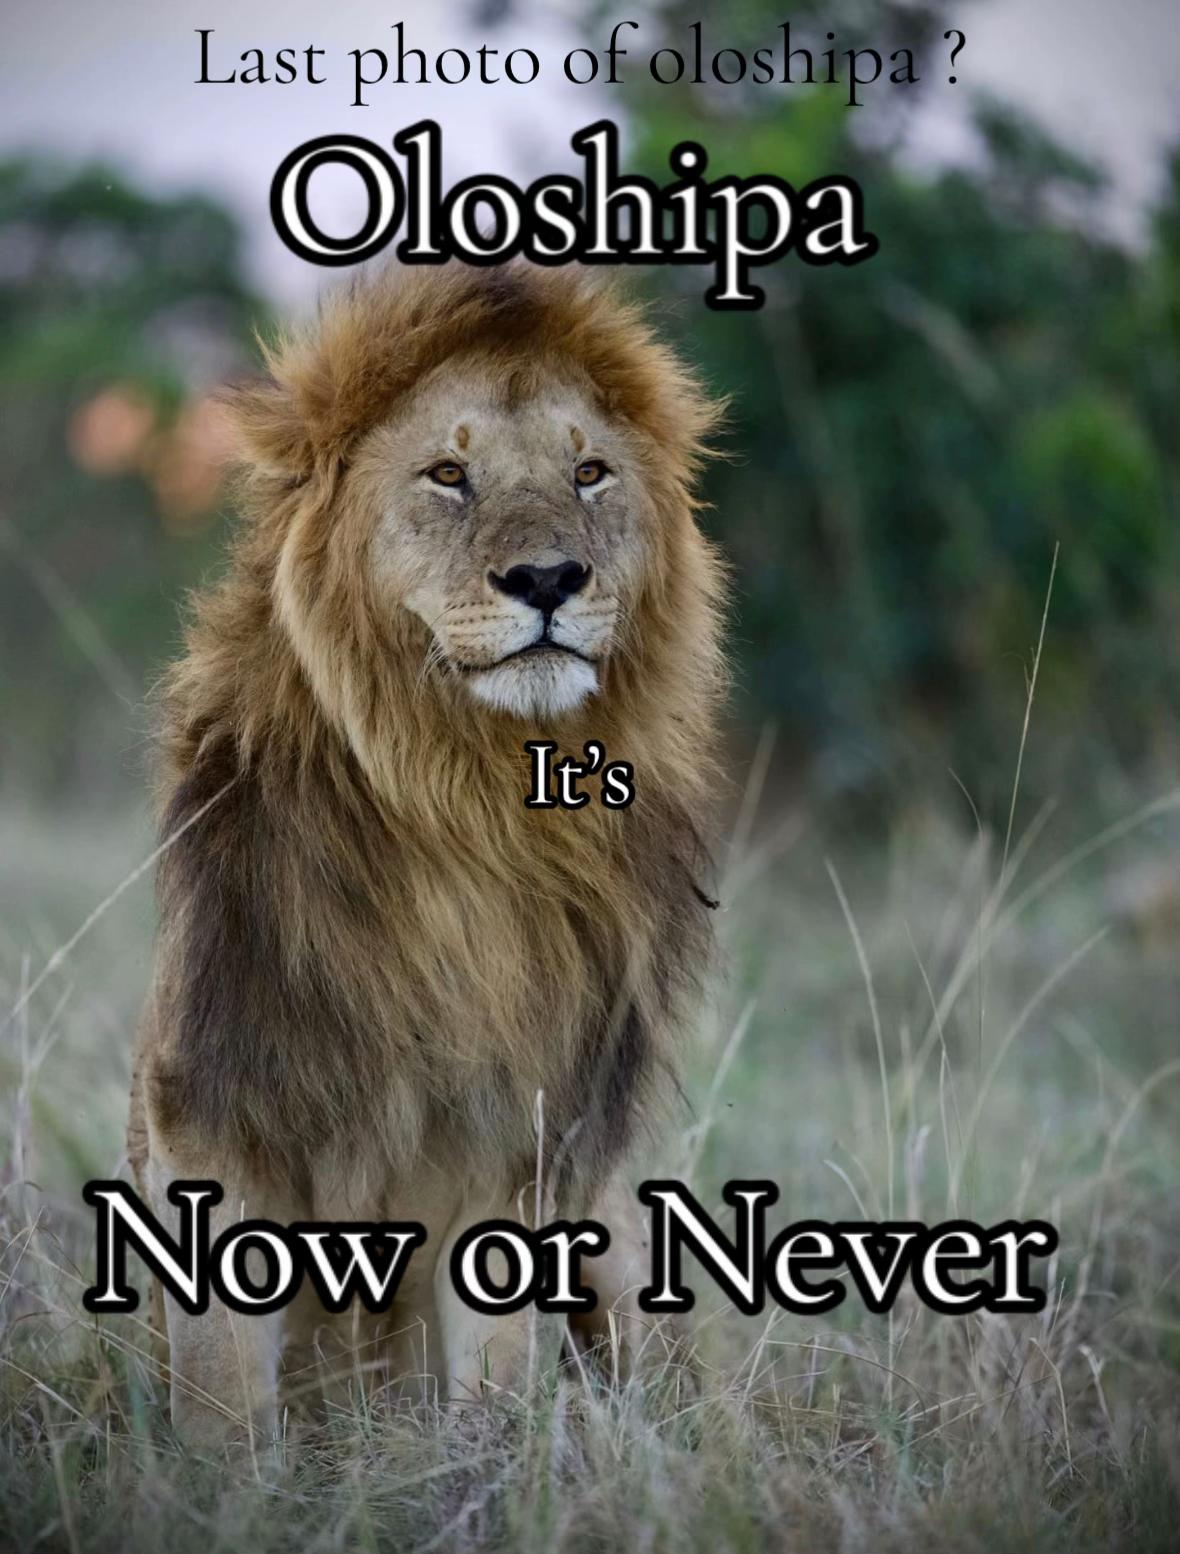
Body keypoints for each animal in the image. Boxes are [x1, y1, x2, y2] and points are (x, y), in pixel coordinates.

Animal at [126, 261, 728, 1449]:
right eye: (449, 475)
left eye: (589, 473)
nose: (548, 577)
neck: (476, 803)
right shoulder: (211, 1109)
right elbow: (223, 1400)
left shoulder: (518, 1148)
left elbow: (493, 1380)